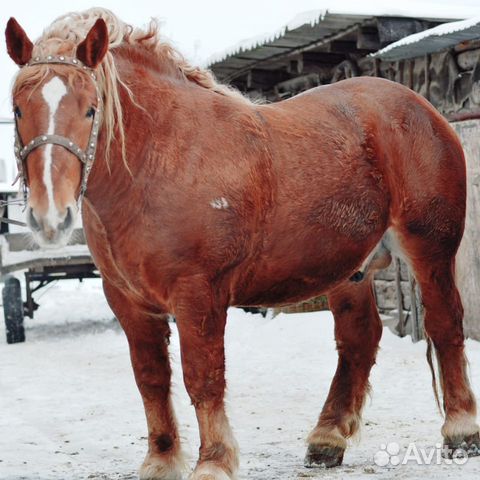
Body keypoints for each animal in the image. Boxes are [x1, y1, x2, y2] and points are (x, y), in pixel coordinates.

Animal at [4, 7, 480, 480]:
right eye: (18, 109)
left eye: (90, 109)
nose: (51, 216)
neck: (159, 162)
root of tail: (422, 109)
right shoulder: (128, 301)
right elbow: (151, 379)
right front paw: (161, 460)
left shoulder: (198, 294)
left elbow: (203, 377)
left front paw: (214, 461)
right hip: (349, 266)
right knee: (359, 337)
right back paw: (327, 438)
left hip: (430, 249)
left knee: (444, 324)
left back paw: (460, 430)